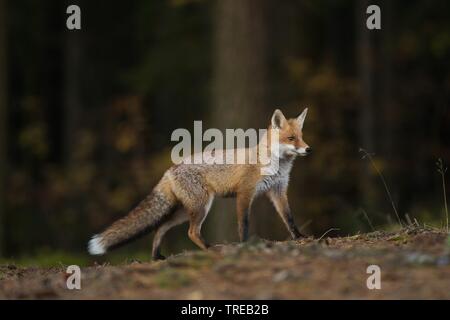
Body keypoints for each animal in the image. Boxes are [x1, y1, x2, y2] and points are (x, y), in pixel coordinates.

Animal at [89, 109, 312, 258]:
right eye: (291, 138)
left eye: (301, 137)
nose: (308, 149)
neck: (273, 164)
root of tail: (170, 170)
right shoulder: (245, 193)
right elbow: (244, 223)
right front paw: (245, 244)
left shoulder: (278, 191)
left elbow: (289, 218)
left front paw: (300, 237)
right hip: (201, 207)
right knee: (191, 232)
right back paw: (211, 249)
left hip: (184, 212)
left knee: (161, 227)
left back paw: (157, 256)